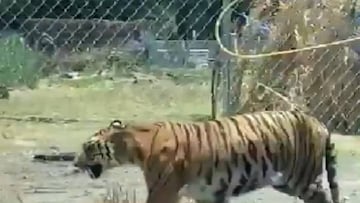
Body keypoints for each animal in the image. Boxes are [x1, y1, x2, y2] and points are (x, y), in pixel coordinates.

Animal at [74, 110, 340, 203]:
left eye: (88, 148)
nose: (75, 163)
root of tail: (317, 121)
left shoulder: (163, 191)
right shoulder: (209, 194)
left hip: (302, 178)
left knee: (324, 196)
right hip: (285, 181)